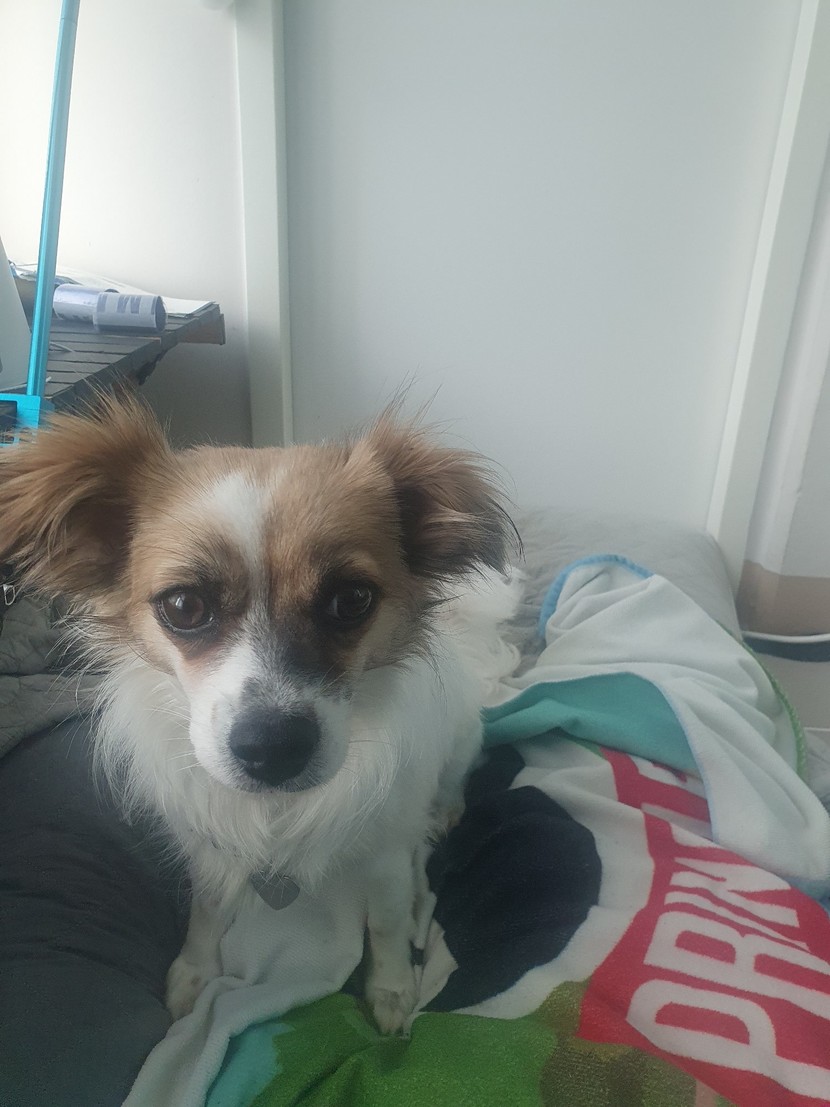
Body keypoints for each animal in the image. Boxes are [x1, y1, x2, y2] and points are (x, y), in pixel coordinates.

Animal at [0, 395, 520, 1032]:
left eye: (352, 600)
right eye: (183, 605)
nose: (272, 748)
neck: (275, 812)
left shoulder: (387, 856)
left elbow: (389, 922)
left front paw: (393, 987)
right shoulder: (207, 845)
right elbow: (206, 909)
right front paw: (194, 970)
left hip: (459, 743)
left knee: (453, 779)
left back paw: (444, 810)